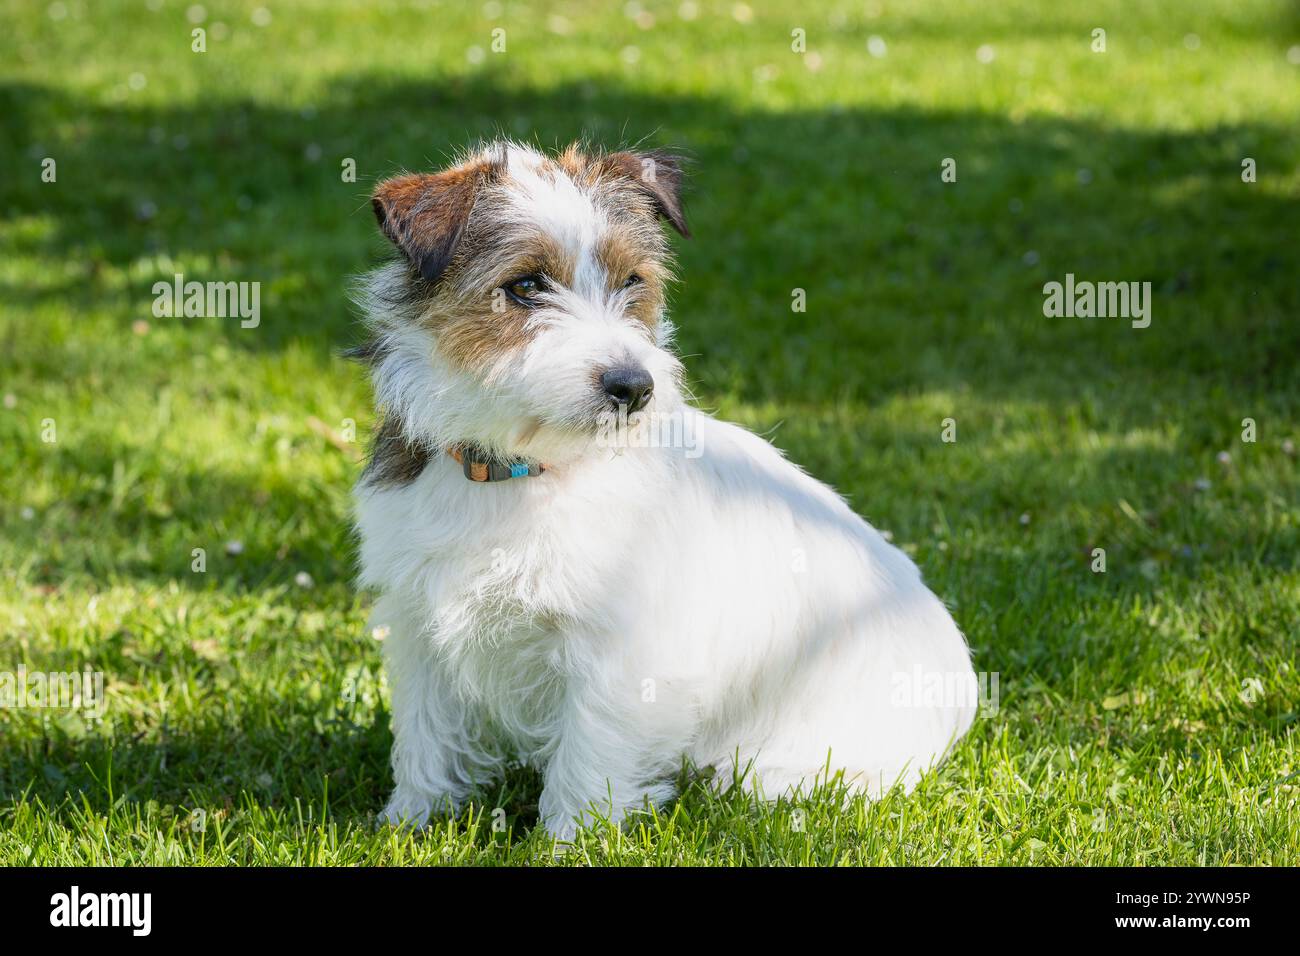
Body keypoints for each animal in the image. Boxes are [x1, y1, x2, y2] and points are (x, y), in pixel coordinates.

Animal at [348, 140, 977, 837]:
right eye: (525, 287)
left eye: (633, 282)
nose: (634, 386)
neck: (520, 470)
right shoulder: (420, 628)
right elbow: (426, 736)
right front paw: (409, 824)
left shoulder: (618, 656)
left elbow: (588, 755)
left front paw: (567, 841)